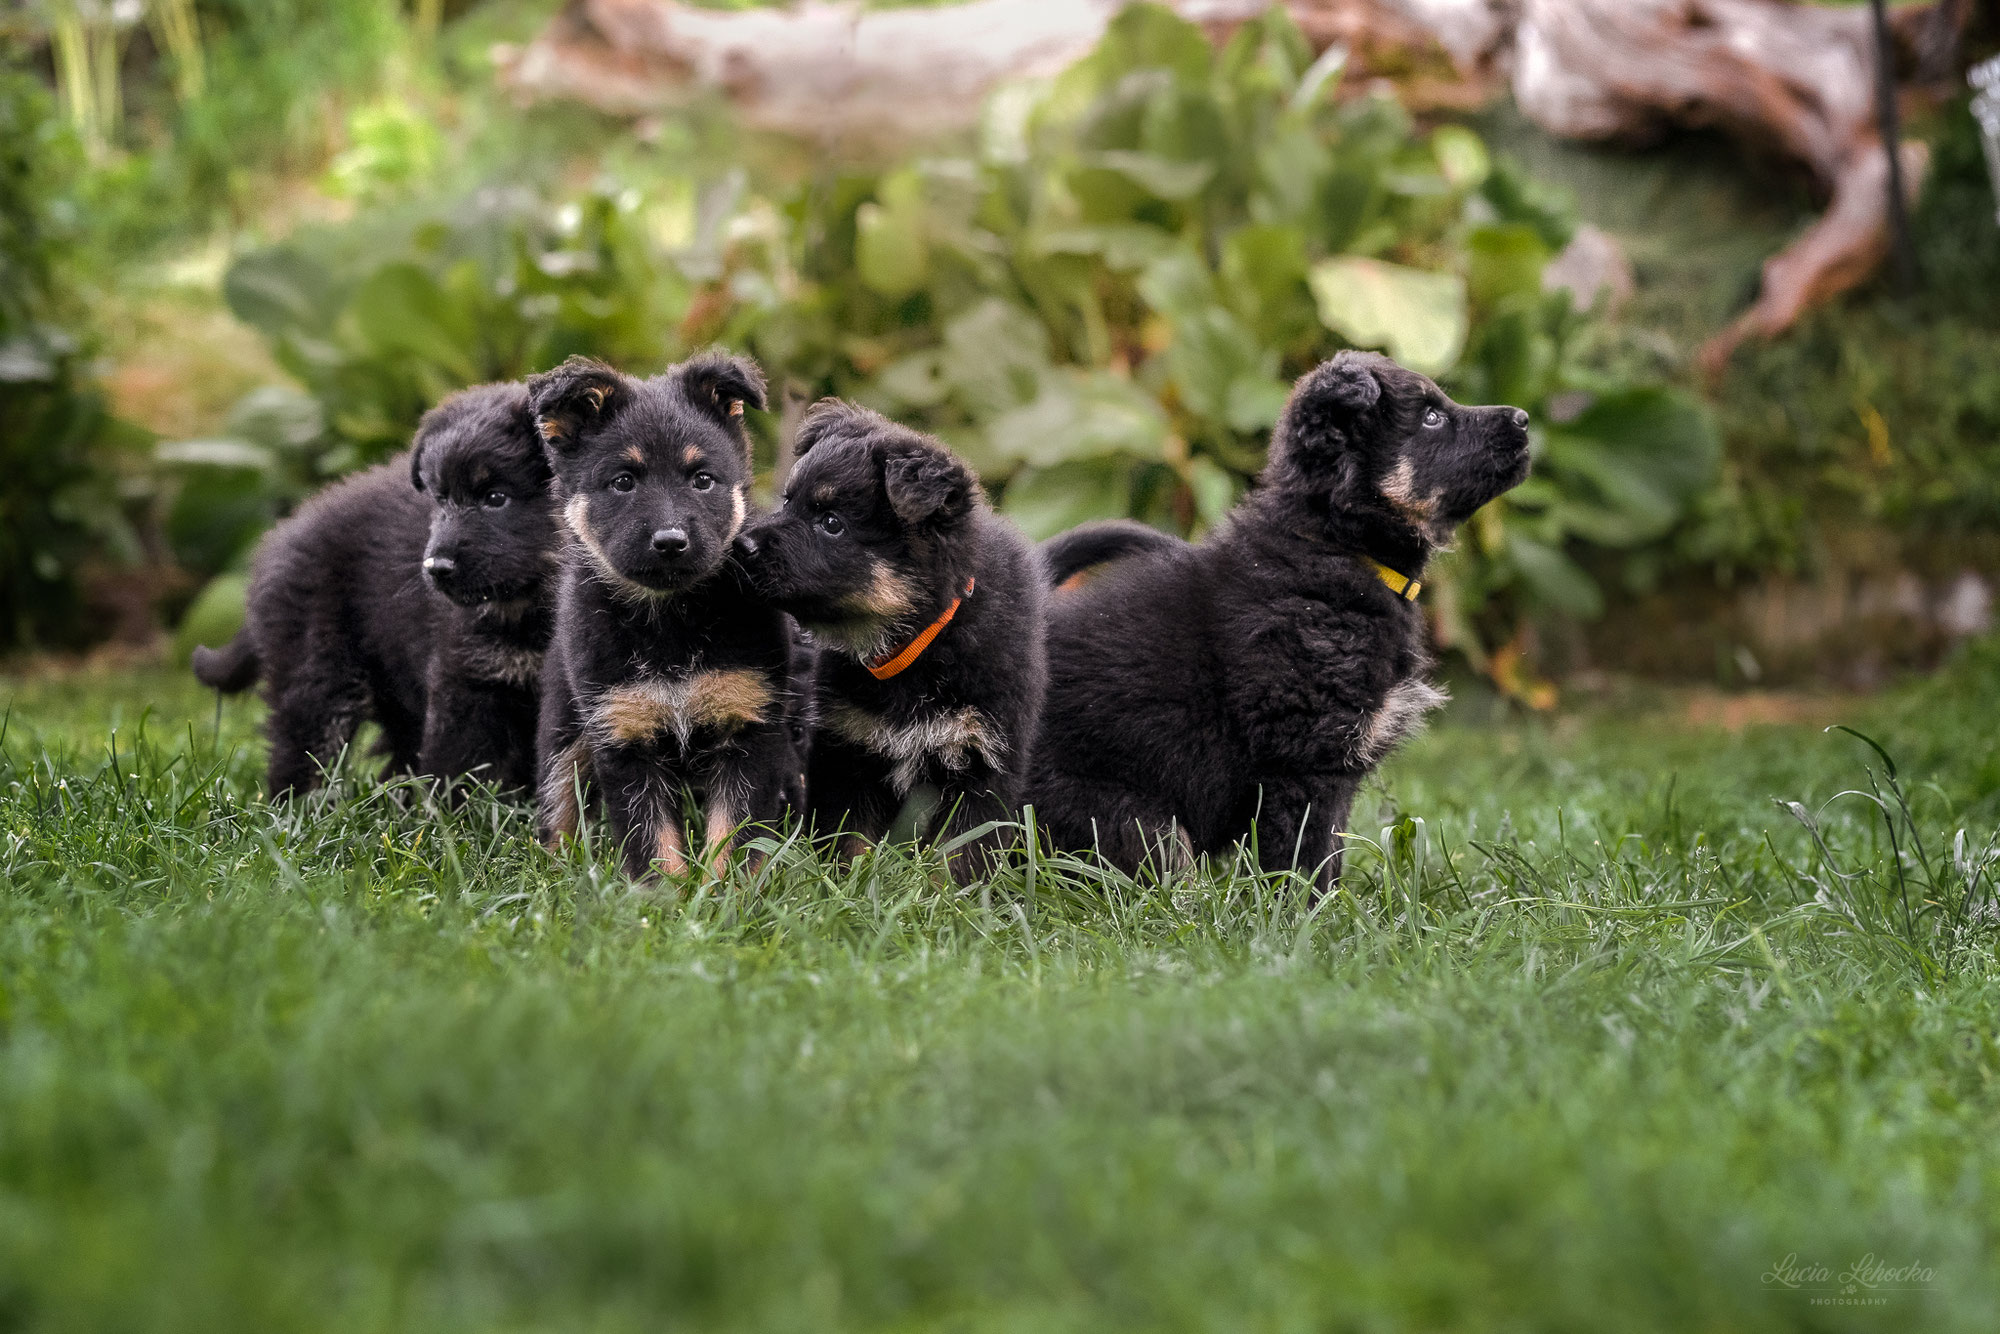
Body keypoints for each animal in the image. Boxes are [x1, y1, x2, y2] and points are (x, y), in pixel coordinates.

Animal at [194, 380, 560, 800]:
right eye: (440, 498)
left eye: (496, 498)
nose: (435, 568)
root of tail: (281, 535)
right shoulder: (466, 680)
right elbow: (461, 770)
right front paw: (459, 816)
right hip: (318, 669)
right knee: (302, 748)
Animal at [536, 350, 808, 880]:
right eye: (623, 482)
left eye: (702, 479)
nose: (670, 541)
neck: (671, 623)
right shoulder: (622, 735)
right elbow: (652, 841)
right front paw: (663, 896)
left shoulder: (748, 726)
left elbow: (733, 836)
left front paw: (724, 894)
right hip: (565, 728)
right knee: (560, 805)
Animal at [736, 402, 1048, 880]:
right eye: (789, 500)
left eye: (831, 523)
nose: (741, 545)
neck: (920, 644)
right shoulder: (848, 753)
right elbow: (850, 843)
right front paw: (846, 888)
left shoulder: (985, 765)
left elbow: (959, 857)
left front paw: (949, 898)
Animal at [1024, 352, 1520, 896]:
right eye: (1431, 417)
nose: (1523, 419)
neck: (1334, 545)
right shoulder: (1303, 762)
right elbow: (1306, 857)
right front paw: (1309, 913)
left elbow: (1330, 853)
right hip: (1130, 817)